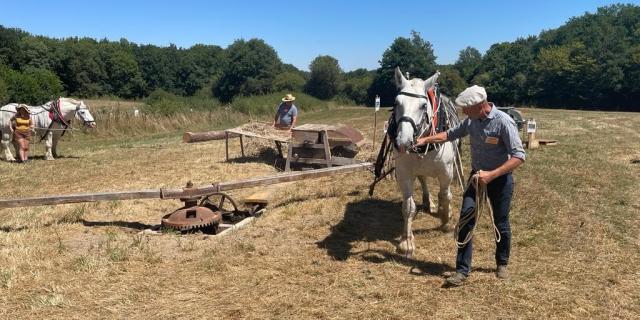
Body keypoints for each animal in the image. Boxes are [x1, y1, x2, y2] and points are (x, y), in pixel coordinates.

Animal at [388, 67, 458, 258]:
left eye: (423, 106)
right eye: (396, 103)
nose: (403, 141)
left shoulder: (446, 172)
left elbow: (446, 195)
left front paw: (446, 219)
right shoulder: (404, 173)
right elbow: (408, 206)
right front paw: (406, 242)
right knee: (424, 180)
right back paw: (429, 202)